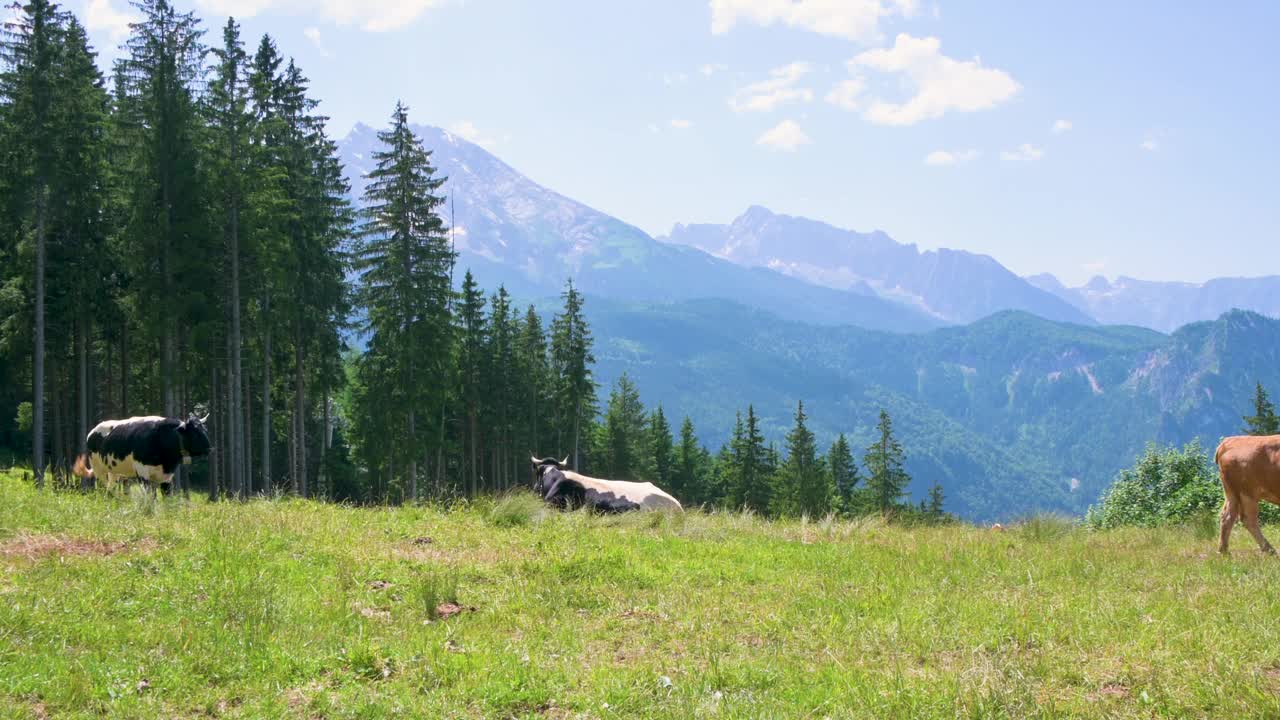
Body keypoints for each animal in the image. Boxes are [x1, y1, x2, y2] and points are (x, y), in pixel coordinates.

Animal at [73, 412, 212, 489]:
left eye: (205, 430)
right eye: (195, 433)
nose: (209, 449)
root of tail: (92, 431)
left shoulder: (166, 477)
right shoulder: (142, 473)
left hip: (114, 472)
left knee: (110, 490)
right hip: (99, 470)